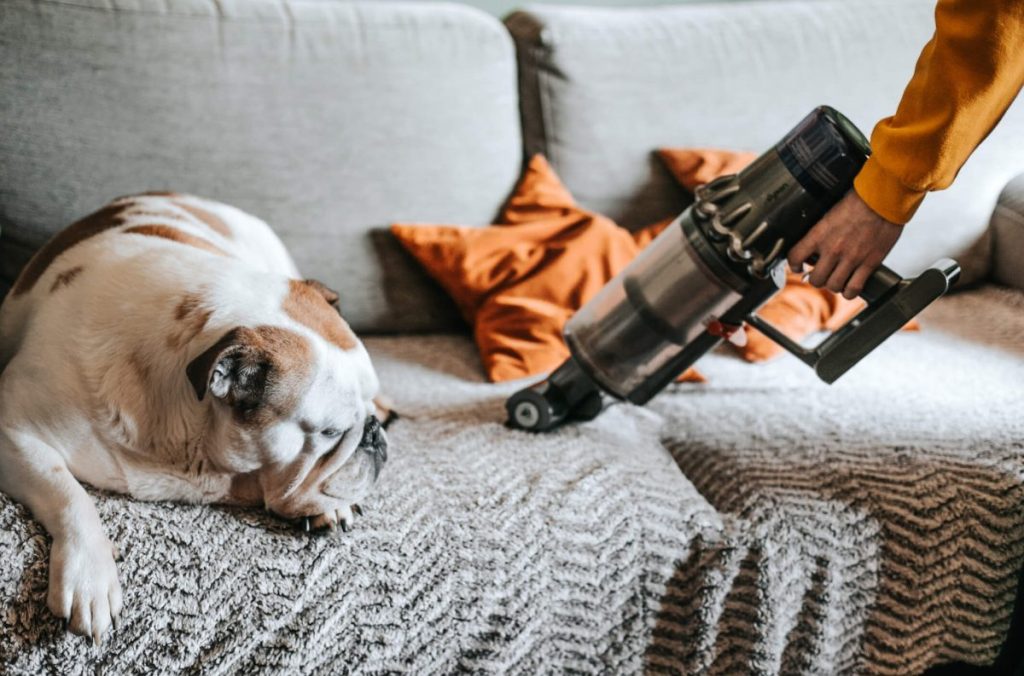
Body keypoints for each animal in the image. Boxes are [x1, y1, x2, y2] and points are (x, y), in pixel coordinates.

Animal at [0, 191, 389, 643]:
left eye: (364, 410)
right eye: (330, 432)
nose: (374, 434)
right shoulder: (14, 430)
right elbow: (68, 495)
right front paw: (89, 577)